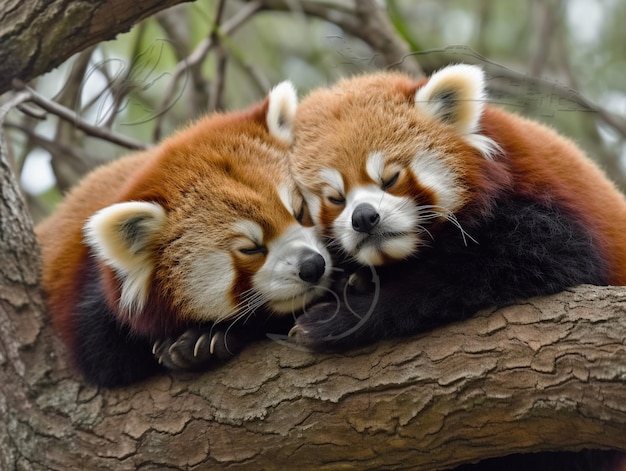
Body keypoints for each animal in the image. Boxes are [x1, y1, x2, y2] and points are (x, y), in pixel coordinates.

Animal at [36, 85, 332, 388]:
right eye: (251, 248)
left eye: (299, 212)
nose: (312, 266)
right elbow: (109, 359)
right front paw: (200, 341)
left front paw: (201, 339)